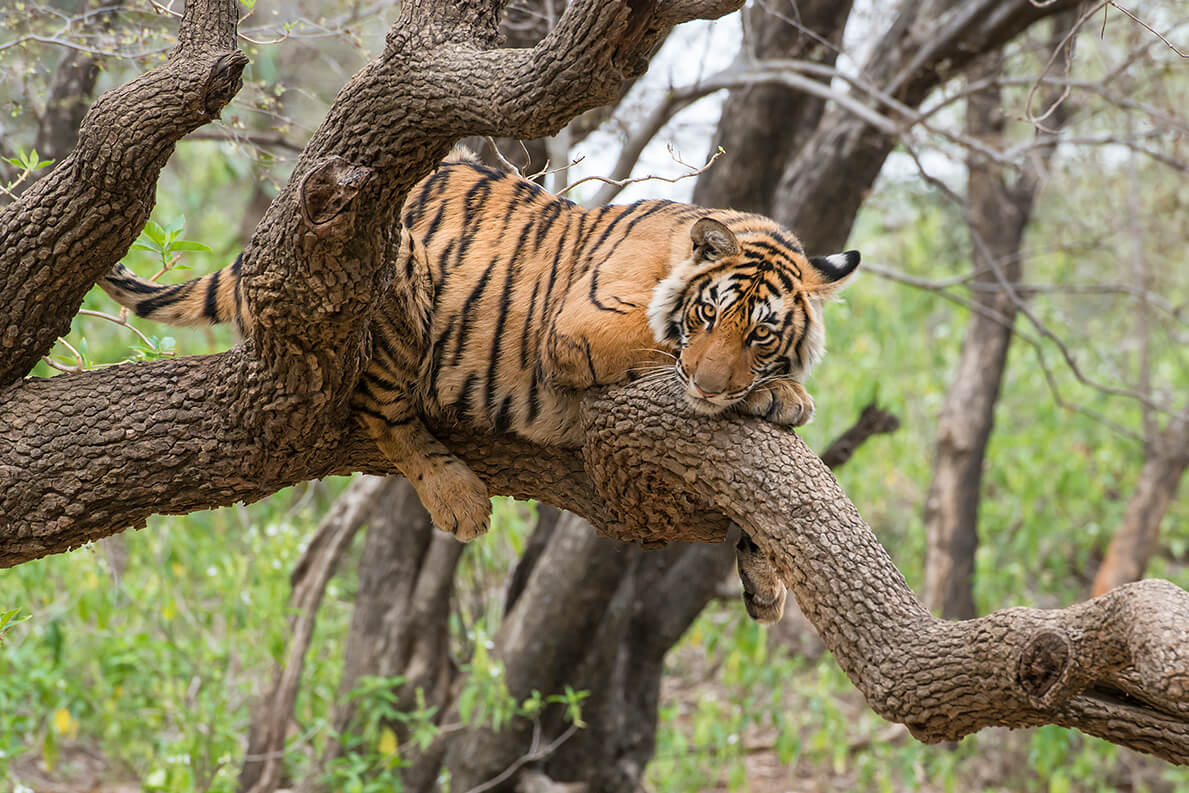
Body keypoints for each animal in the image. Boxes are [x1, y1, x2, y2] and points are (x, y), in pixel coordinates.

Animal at [99, 148, 856, 603]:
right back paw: (455, 494)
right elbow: (664, 353)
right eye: (708, 312)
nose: (709, 387)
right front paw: (777, 394)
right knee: (383, 411)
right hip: (399, 275)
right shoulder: (582, 327)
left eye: (760, 334)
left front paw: (766, 575)